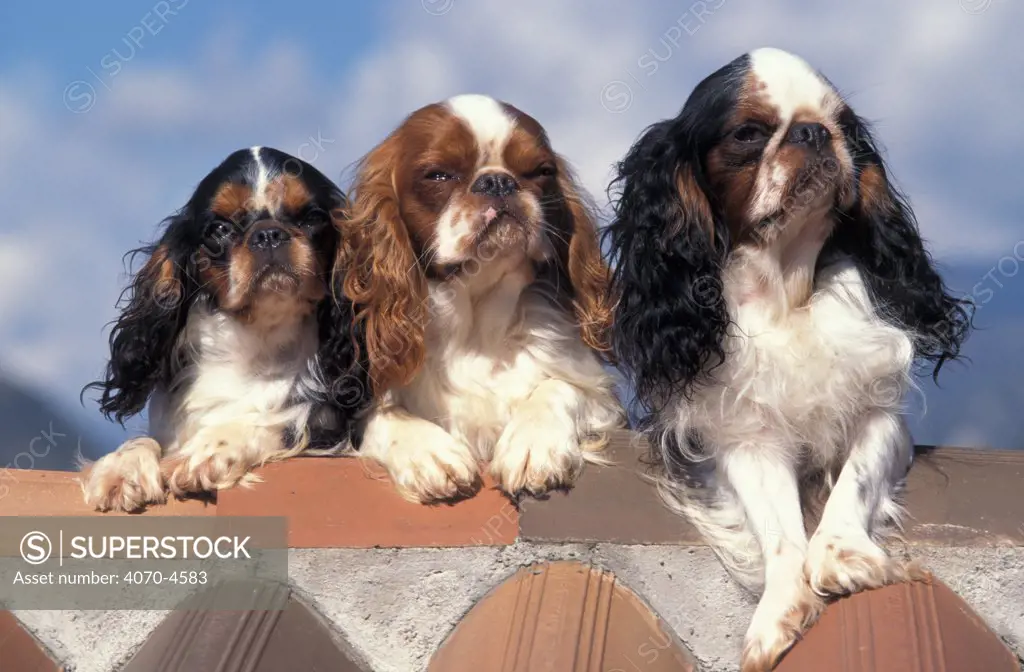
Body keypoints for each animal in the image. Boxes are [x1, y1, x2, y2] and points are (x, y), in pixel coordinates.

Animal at [80, 147, 368, 512]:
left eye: (312, 218)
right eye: (219, 229)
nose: (268, 234)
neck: (257, 337)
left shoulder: (330, 426)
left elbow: (284, 420)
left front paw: (209, 450)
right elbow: (145, 439)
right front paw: (121, 468)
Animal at [602, 49, 970, 667]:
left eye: (843, 126)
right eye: (750, 133)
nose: (813, 132)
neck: (787, 290)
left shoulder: (881, 417)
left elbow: (855, 478)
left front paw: (841, 556)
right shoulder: (746, 439)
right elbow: (778, 528)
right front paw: (780, 609)